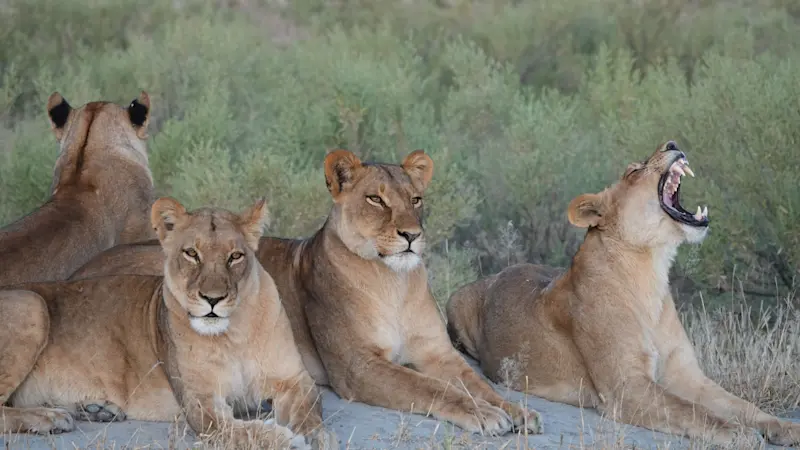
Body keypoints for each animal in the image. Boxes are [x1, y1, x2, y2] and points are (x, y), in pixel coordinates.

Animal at [0, 196, 337, 449]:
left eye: (235, 256)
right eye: (191, 254)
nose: (212, 299)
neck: (233, 335)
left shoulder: (295, 379)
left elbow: (309, 414)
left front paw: (314, 437)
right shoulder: (202, 404)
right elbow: (242, 431)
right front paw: (287, 439)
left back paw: (96, 410)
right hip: (31, 304)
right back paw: (50, 418)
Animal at [68, 149, 544, 436]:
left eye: (416, 199)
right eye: (375, 200)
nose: (412, 235)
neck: (394, 281)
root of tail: (77, 270)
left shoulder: (438, 353)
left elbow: (475, 383)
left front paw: (518, 411)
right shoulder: (356, 367)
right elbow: (430, 389)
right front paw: (485, 416)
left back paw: (97, 411)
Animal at [445, 141, 800, 446]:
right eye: (633, 171)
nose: (672, 143)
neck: (651, 273)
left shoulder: (687, 376)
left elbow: (740, 405)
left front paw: (784, 427)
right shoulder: (626, 387)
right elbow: (693, 411)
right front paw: (740, 433)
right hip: (455, 302)